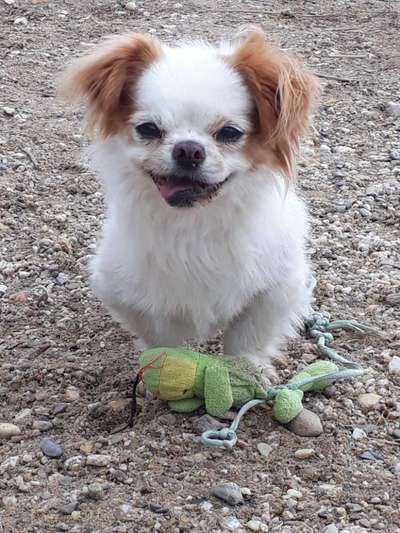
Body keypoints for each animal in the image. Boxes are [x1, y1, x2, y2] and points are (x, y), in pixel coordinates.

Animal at [62, 29, 318, 380]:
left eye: (230, 132)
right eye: (148, 129)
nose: (188, 149)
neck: (194, 226)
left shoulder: (277, 286)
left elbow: (248, 335)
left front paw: (247, 369)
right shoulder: (122, 290)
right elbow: (161, 336)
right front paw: (167, 367)